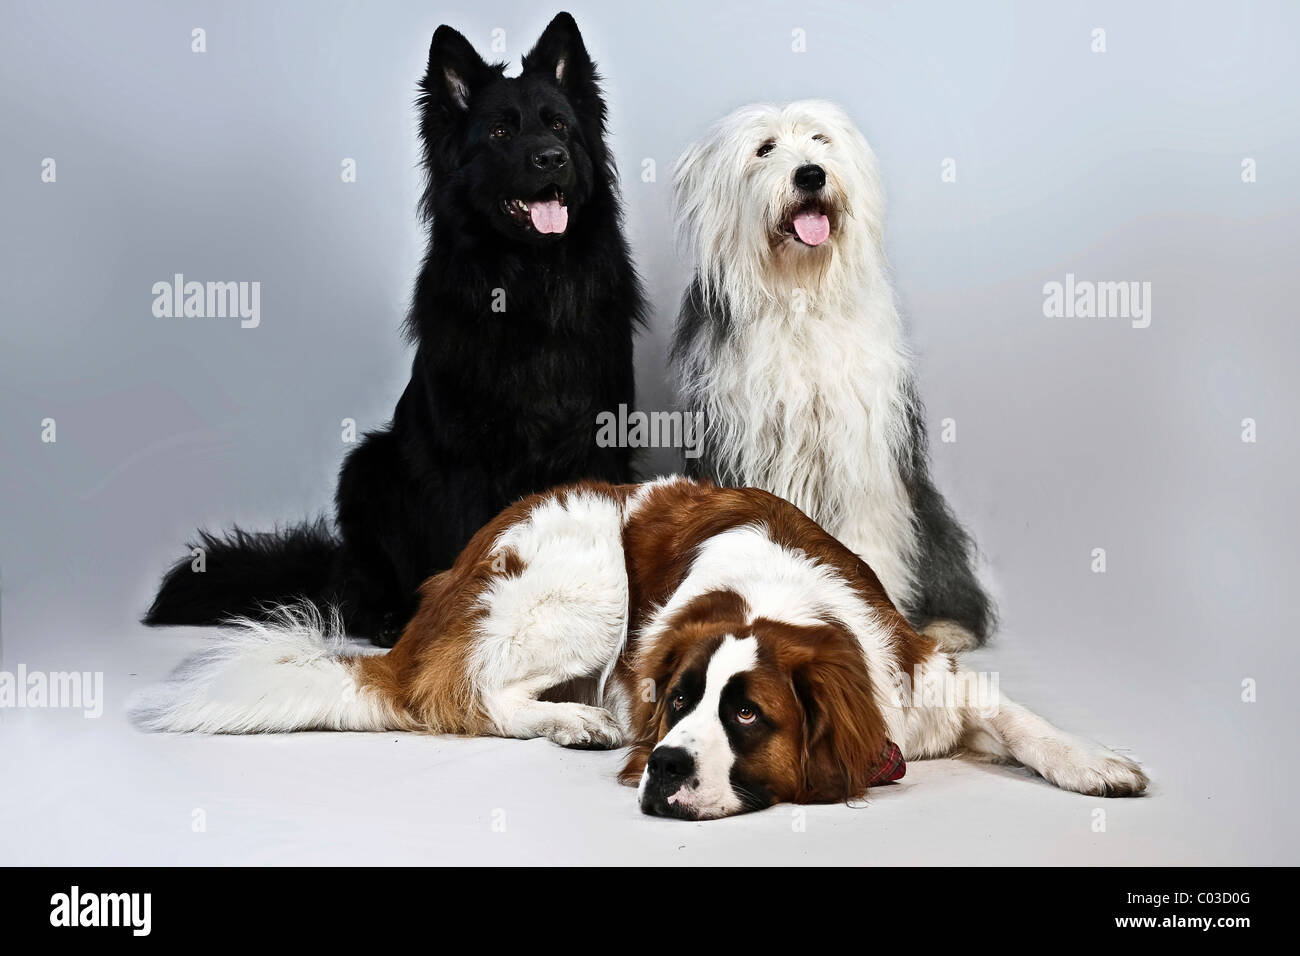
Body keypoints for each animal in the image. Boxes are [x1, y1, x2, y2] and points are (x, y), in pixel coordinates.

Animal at [134, 478, 1149, 822]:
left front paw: (1096, 763)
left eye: (746, 715)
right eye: (677, 706)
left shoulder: (923, 676)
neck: (773, 598)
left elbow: (1021, 718)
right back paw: (571, 720)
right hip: (587, 571)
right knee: (471, 696)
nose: (662, 765)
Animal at [144, 13, 642, 642]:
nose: (551, 158)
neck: (529, 286)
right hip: (368, 465)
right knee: (355, 592)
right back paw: (383, 618)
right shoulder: (463, 463)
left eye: (558, 125)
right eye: (500, 133)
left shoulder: (600, 447)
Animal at [676, 100, 987, 655]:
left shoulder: (861, 461)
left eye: (820, 140)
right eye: (765, 148)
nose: (811, 175)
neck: (800, 292)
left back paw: (949, 627)